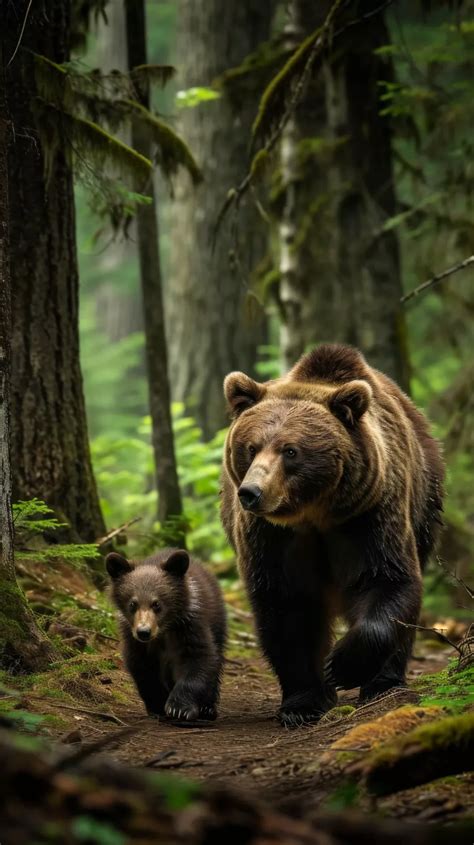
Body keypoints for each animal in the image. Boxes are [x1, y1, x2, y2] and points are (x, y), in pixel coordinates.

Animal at [222, 342, 444, 724]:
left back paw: (384, 683)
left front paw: (341, 665)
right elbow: (286, 606)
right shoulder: (271, 536)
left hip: (425, 498)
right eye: (251, 447)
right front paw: (304, 701)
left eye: (291, 450)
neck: (314, 516)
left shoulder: (368, 516)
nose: (251, 492)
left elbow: (388, 580)